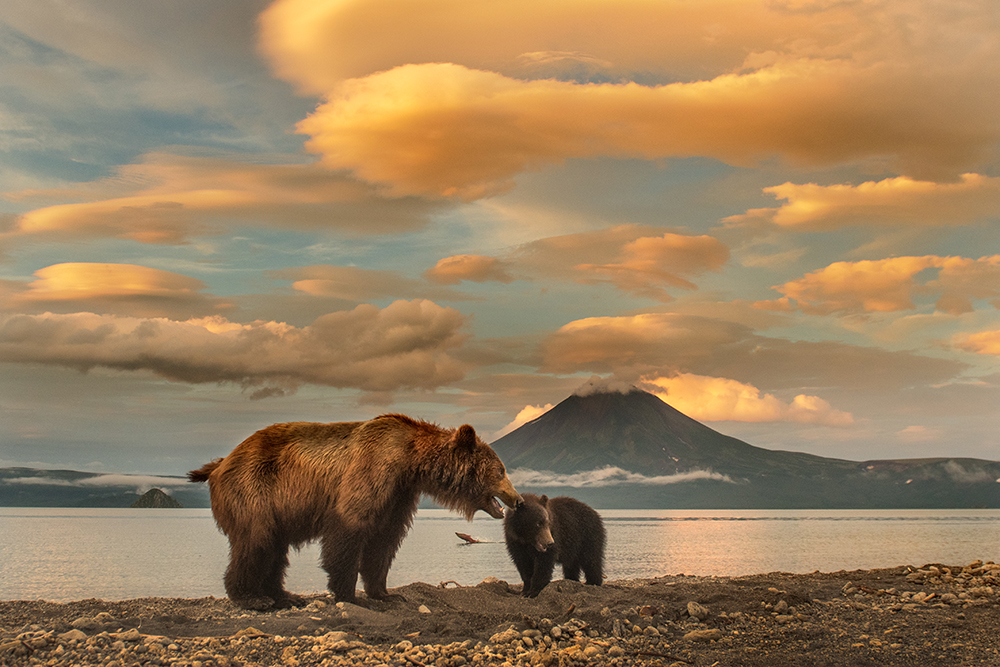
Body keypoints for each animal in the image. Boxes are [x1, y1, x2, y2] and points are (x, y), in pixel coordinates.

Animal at [188, 414, 522, 610]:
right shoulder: (372, 469)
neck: (411, 460)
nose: (517, 499)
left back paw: (285, 595)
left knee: (274, 547)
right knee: (257, 541)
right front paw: (348, 593)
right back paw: (252, 597)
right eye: (501, 470)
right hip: (254, 489)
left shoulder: (398, 494)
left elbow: (384, 541)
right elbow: (350, 528)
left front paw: (386, 593)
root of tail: (220, 463)